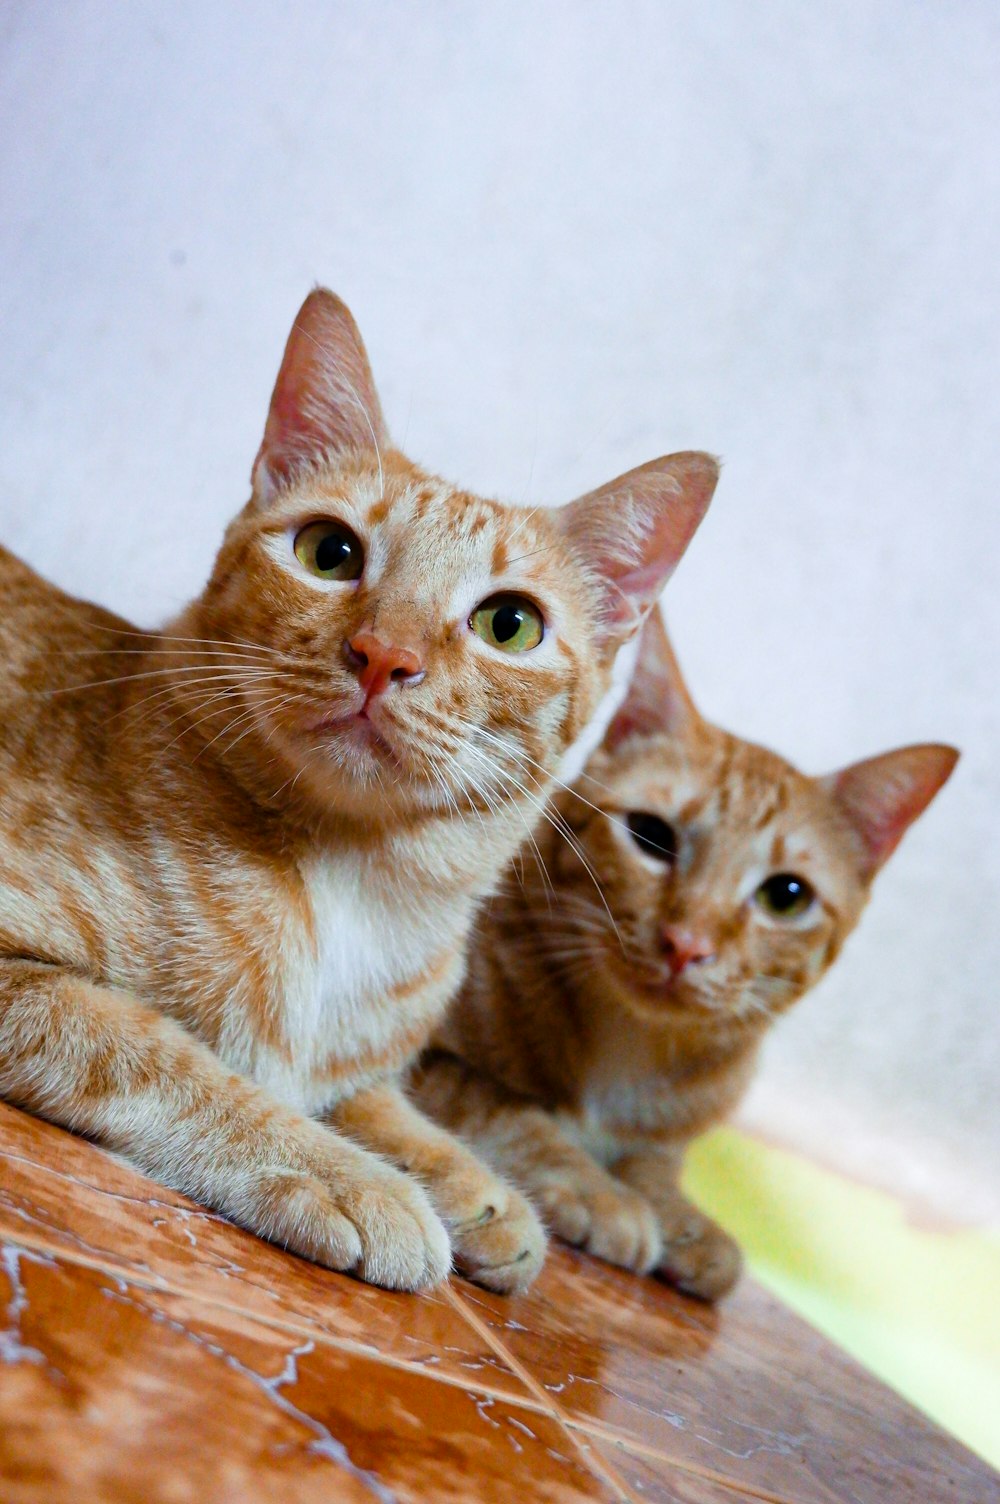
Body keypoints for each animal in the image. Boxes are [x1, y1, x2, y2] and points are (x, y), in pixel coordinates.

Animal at [0, 293, 718, 1293]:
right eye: (329, 551)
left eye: (510, 624)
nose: (386, 655)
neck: (357, 881)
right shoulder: (30, 973)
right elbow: (159, 1052)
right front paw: (347, 1174)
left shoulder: (372, 1071)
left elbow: (393, 1108)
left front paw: (482, 1190)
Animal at [415, 607, 962, 1293]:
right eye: (652, 837)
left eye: (786, 897)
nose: (687, 945)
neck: (629, 1047)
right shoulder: (420, 1054)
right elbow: (502, 1104)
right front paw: (599, 1191)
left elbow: (656, 1163)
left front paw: (681, 1216)